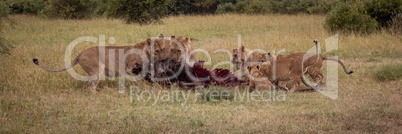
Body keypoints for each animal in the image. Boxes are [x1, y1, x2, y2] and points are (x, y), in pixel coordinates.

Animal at [32, 37, 168, 93]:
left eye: (164, 49)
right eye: (157, 51)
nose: (164, 59)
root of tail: (80, 53)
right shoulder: (131, 69)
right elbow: (139, 82)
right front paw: (145, 89)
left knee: (87, 86)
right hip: (97, 70)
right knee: (90, 87)